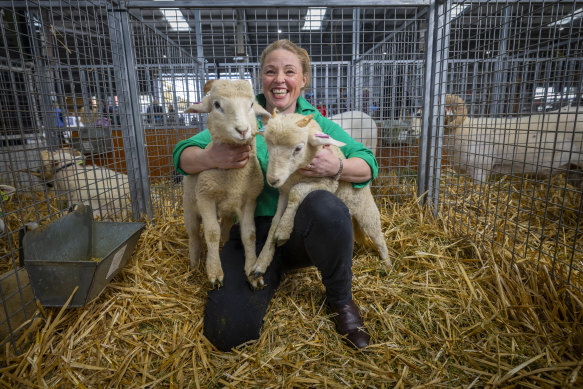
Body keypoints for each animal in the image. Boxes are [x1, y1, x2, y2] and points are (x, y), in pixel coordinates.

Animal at [182, 79, 272, 286]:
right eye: (216, 105)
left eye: (251, 105)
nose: (243, 130)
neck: (234, 180)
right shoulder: (205, 198)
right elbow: (211, 233)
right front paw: (214, 272)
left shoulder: (249, 201)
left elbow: (249, 234)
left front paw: (252, 272)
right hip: (189, 206)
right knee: (194, 234)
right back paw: (194, 262)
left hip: (228, 210)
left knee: (225, 228)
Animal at [250, 110, 390, 286]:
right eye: (268, 146)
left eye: (298, 148)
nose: (273, 180)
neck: (296, 174)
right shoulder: (283, 192)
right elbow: (274, 222)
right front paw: (262, 262)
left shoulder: (327, 183)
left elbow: (297, 191)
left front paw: (283, 230)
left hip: (367, 211)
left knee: (377, 235)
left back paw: (387, 263)